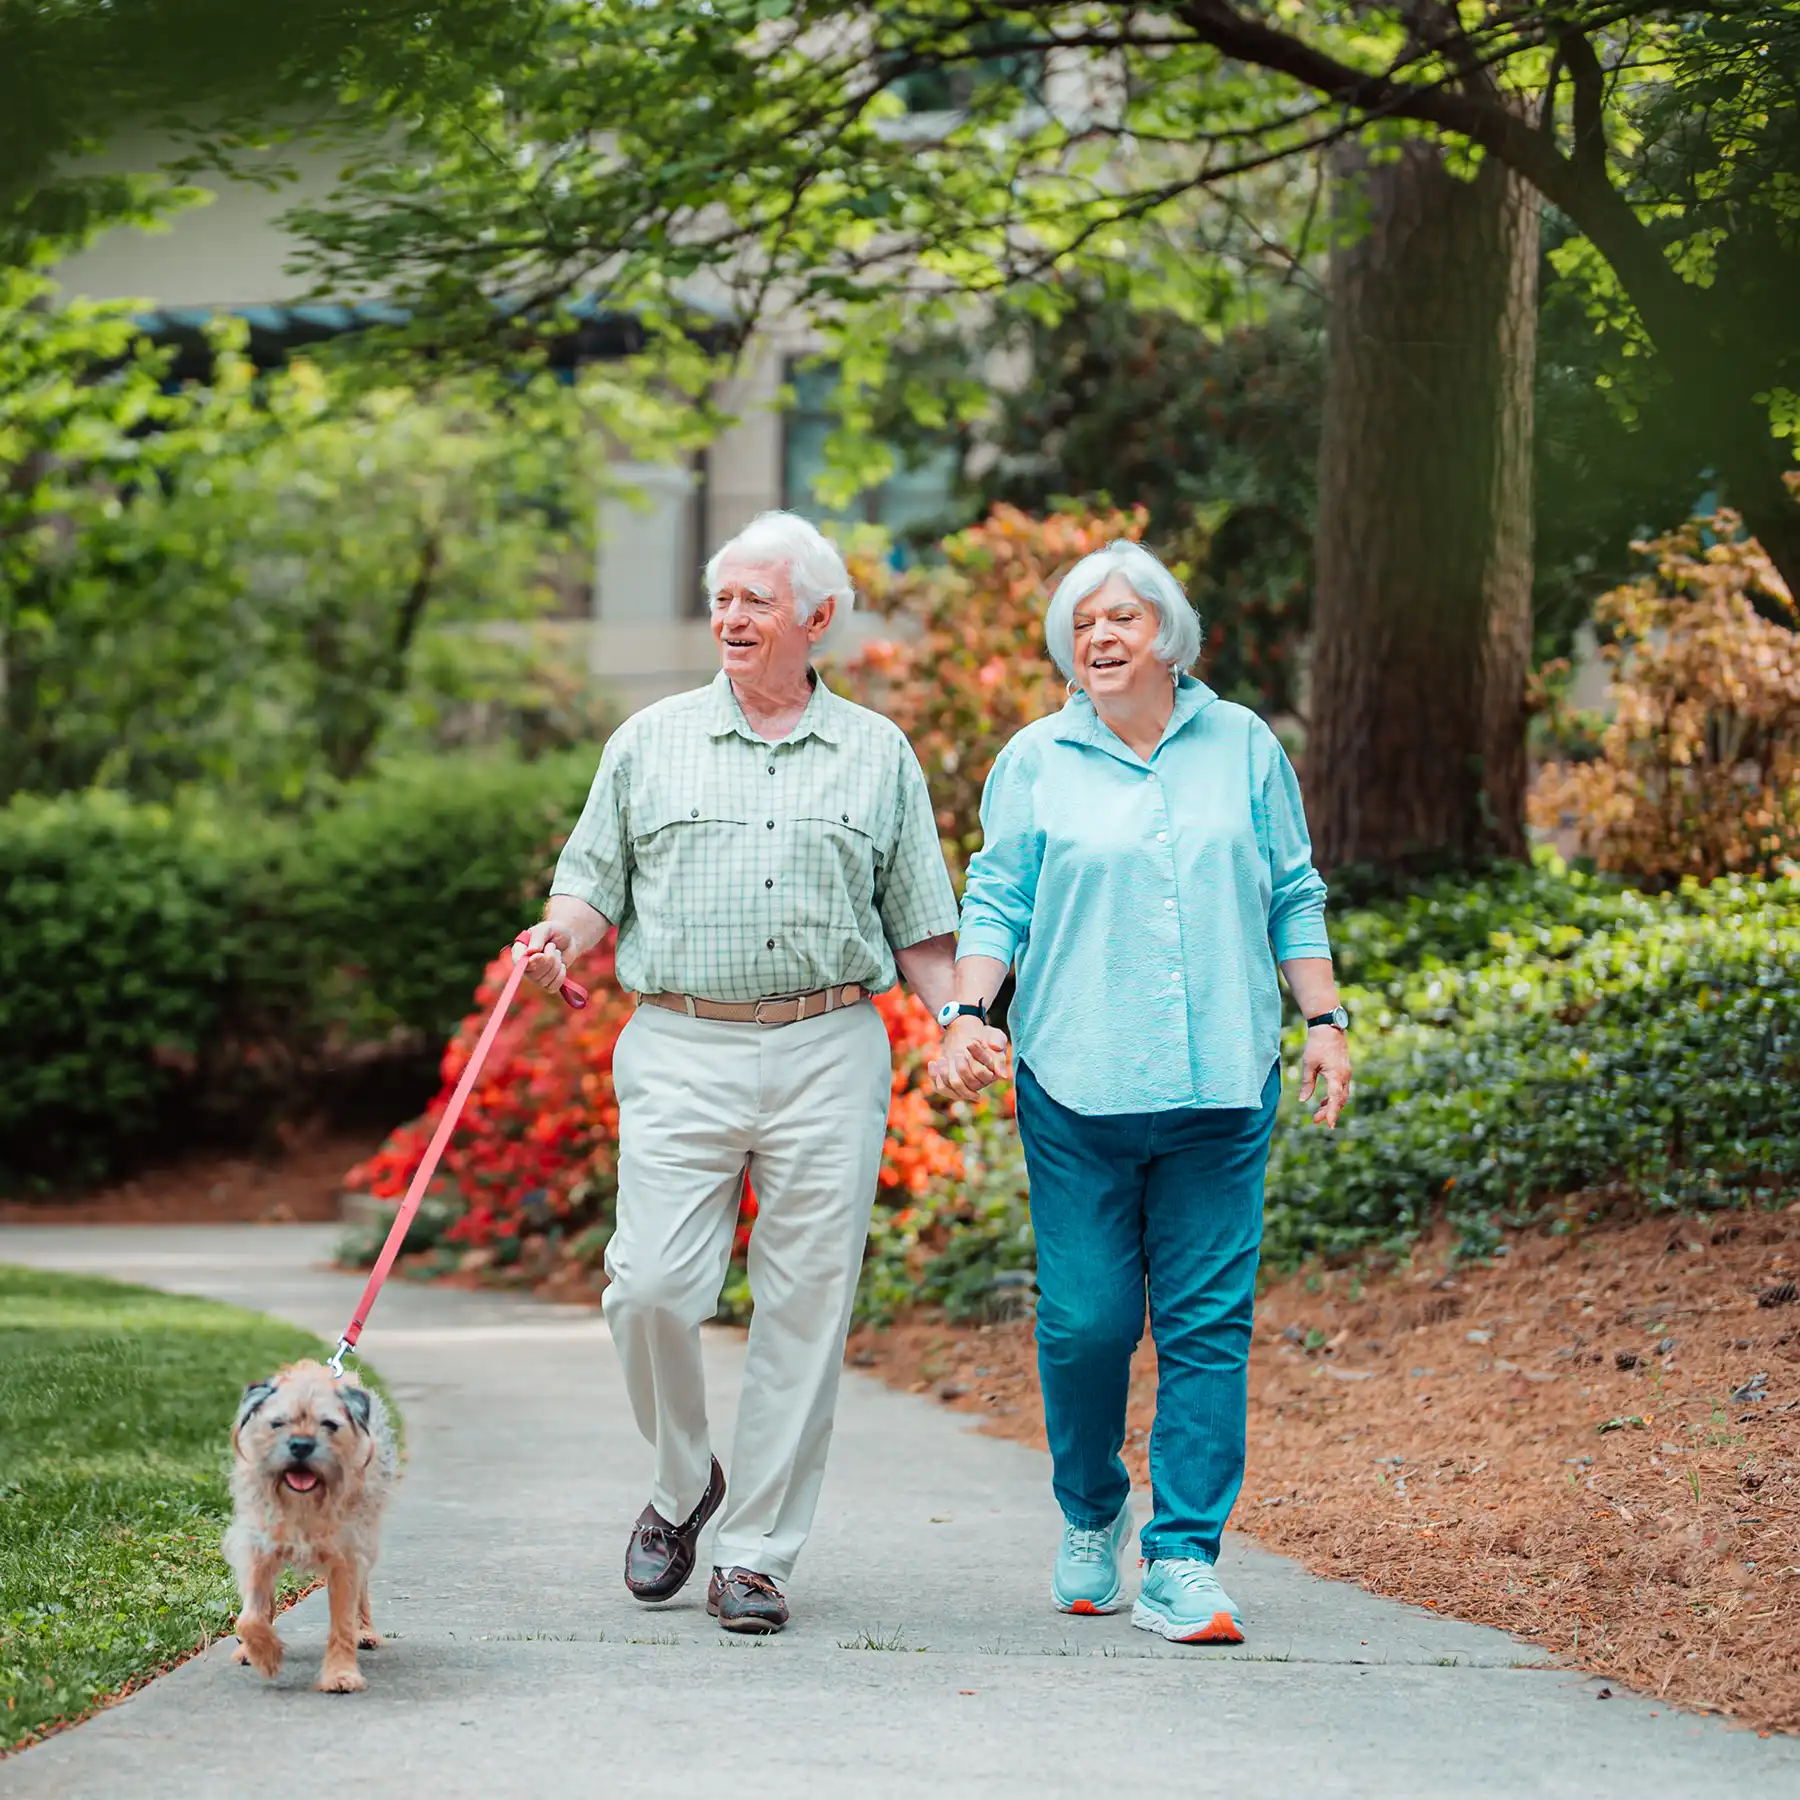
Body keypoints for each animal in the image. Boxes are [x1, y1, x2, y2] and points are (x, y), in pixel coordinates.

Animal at [224, 1360, 397, 1684]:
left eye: (329, 1424)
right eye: (277, 1423)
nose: (301, 1445)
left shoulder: (347, 1554)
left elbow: (342, 1620)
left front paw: (341, 1673)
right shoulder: (258, 1548)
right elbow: (250, 1615)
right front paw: (265, 1655)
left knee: (362, 1593)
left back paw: (365, 1631)